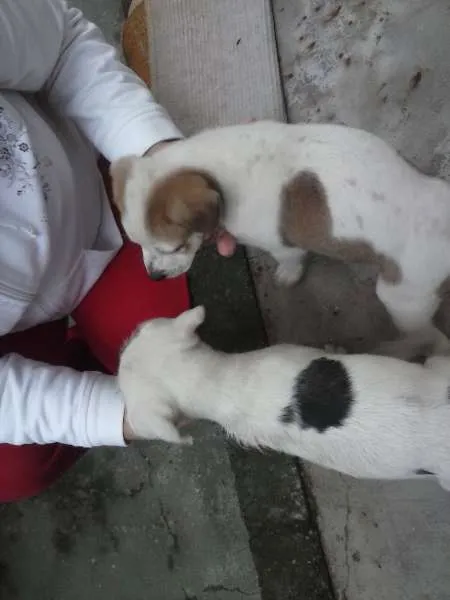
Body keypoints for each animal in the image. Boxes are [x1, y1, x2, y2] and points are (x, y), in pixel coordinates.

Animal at [110, 119, 450, 358]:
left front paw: (289, 275)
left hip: (403, 297)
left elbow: (290, 258)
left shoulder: (279, 244)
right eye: (137, 243)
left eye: (175, 247)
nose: (153, 277)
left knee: (430, 338)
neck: (218, 169)